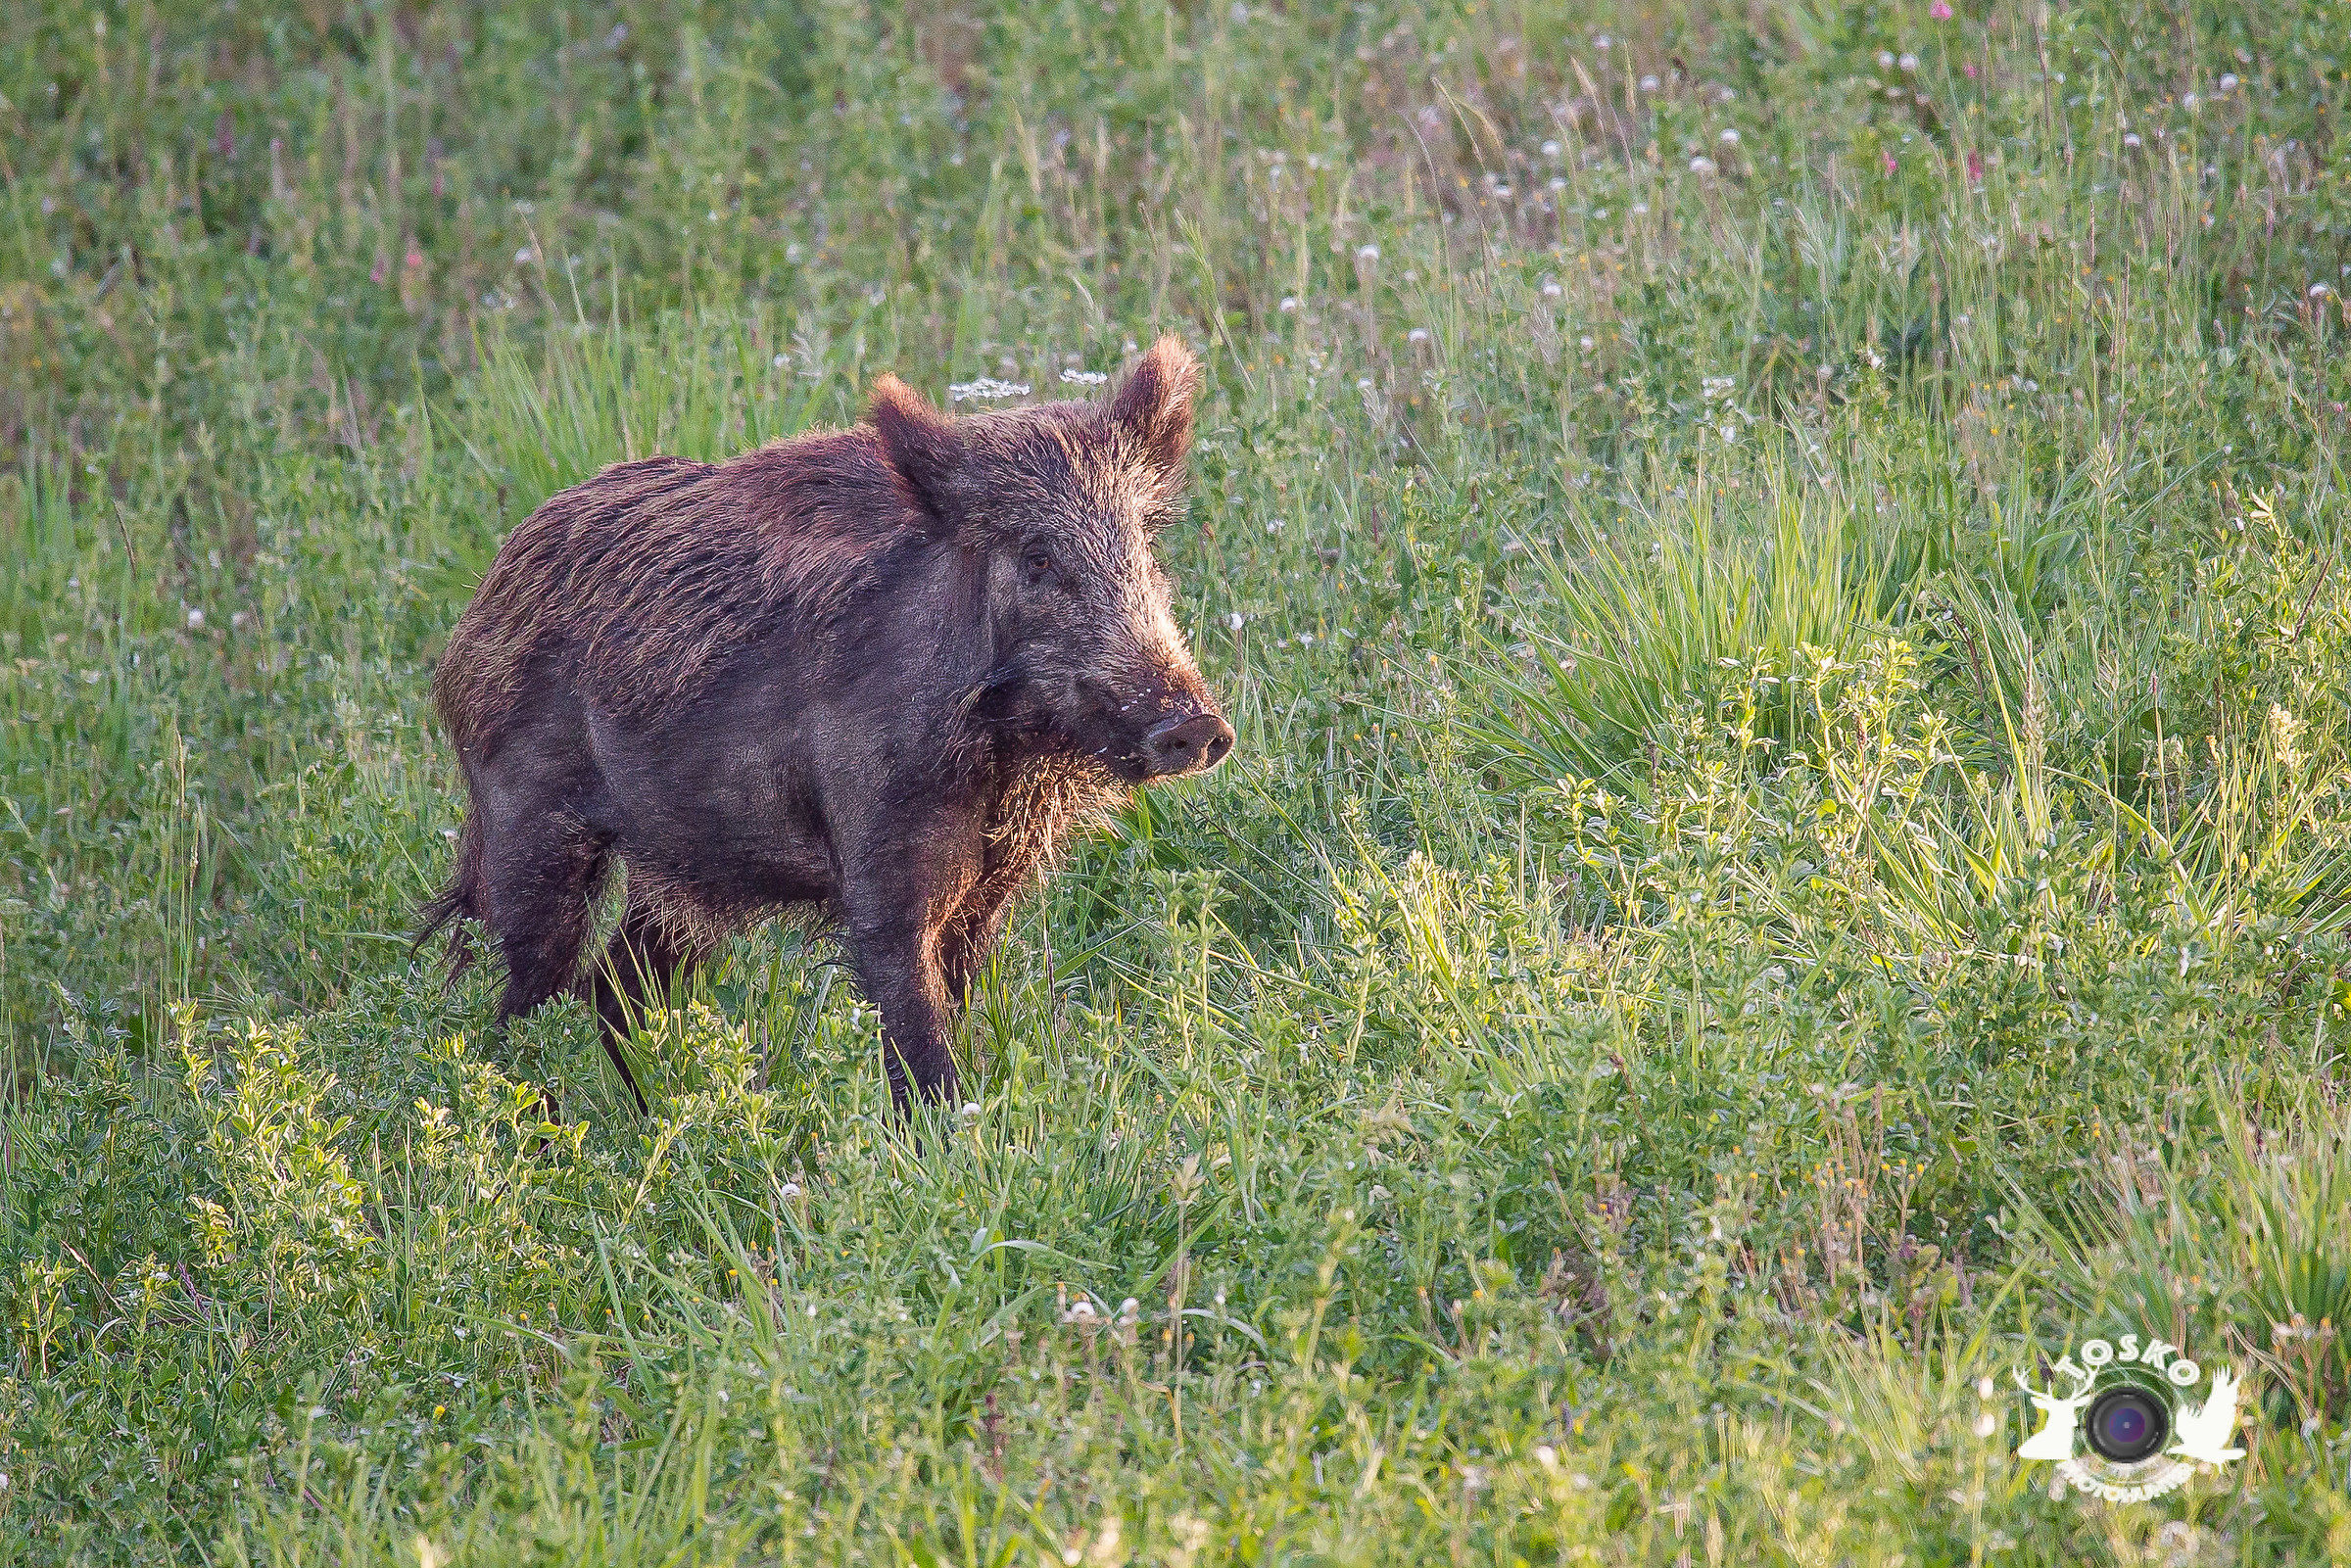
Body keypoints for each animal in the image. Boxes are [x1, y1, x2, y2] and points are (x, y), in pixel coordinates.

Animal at [417, 337, 1233, 1115]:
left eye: (1143, 544)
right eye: (1036, 557)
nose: (1196, 725)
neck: (1005, 756)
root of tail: (483, 596)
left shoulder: (987, 894)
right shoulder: (880, 861)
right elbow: (916, 1038)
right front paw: (945, 1138)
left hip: (683, 864)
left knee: (616, 985)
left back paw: (647, 1114)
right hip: (529, 824)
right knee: (527, 1001)